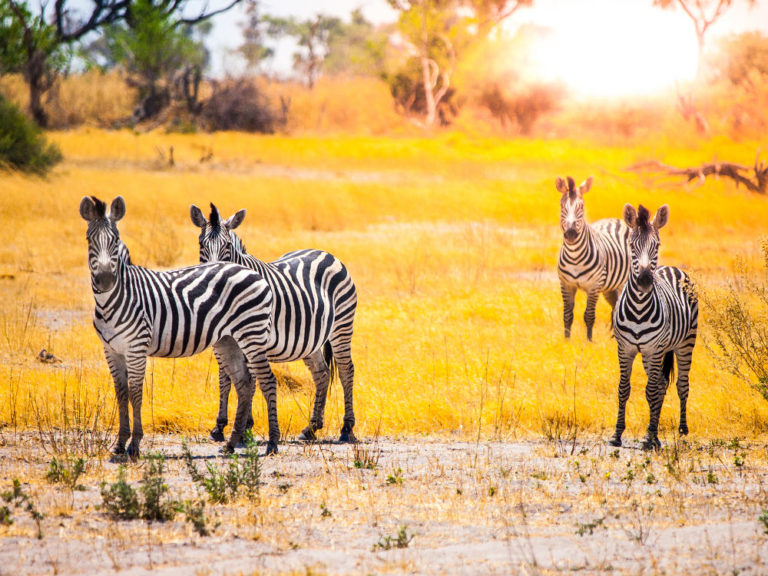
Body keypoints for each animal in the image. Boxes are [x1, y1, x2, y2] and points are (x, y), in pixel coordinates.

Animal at [78, 196, 280, 456]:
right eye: (89, 240)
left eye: (115, 240)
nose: (105, 280)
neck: (115, 298)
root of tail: (252, 271)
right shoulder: (112, 350)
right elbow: (121, 394)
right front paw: (119, 444)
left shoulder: (136, 348)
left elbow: (135, 393)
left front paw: (134, 444)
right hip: (229, 340)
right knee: (244, 384)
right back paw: (231, 443)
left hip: (251, 334)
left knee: (267, 380)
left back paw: (272, 442)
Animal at [192, 205, 360, 444]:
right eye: (201, 244)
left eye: (227, 246)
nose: (214, 273)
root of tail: (324, 252)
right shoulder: (224, 340)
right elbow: (225, 378)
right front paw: (220, 427)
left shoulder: (251, 336)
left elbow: (248, 379)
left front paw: (245, 427)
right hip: (310, 339)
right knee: (322, 374)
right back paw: (311, 428)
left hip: (342, 326)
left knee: (346, 370)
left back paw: (346, 428)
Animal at [560, 176, 632, 342]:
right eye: (562, 206)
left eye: (581, 207)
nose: (571, 234)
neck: (574, 256)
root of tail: (615, 219)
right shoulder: (566, 284)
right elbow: (567, 315)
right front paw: (566, 341)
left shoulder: (594, 286)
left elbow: (589, 315)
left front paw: (589, 341)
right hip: (609, 287)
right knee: (614, 307)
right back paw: (612, 336)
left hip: (623, 283)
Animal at [608, 205, 700, 452]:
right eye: (631, 246)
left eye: (656, 245)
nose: (645, 281)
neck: (639, 308)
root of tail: (671, 268)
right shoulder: (625, 349)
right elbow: (624, 388)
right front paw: (617, 434)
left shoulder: (654, 349)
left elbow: (651, 392)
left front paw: (649, 437)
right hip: (653, 353)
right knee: (659, 385)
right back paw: (654, 435)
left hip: (685, 343)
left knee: (681, 385)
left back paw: (680, 430)